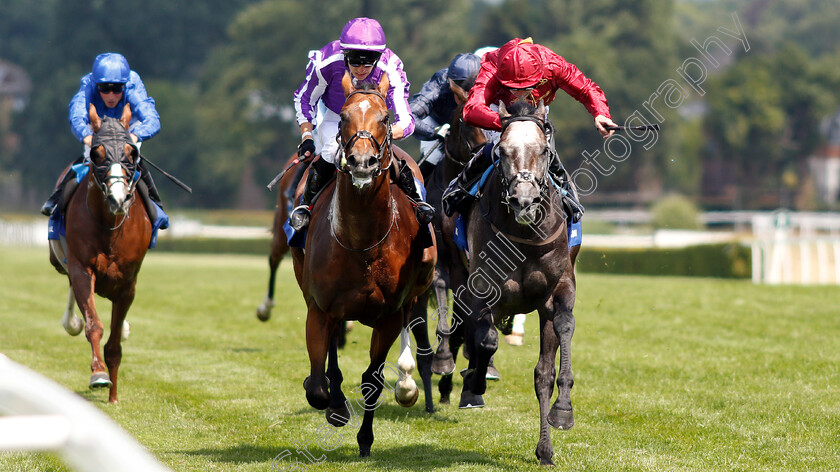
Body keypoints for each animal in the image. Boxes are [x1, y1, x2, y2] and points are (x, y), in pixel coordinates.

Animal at [48, 102, 152, 402]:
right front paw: (99, 375)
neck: (110, 226)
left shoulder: (128, 283)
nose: (118, 199)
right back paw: (71, 322)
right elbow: (94, 325)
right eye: (97, 153)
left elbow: (115, 343)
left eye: (131, 152)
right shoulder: (83, 268)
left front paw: (114, 395)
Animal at [288, 74, 434, 458]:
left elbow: (372, 380)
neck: (361, 240)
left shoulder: (388, 317)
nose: (363, 162)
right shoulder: (321, 309)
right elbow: (319, 386)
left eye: (385, 118)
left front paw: (365, 440)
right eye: (342, 117)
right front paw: (335, 407)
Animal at [456, 99, 580, 464]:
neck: (525, 236)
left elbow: (550, 360)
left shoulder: (558, 291)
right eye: (503, 151)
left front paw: (561, 413)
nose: (524, 200)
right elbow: (485, 342)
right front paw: (475, 385)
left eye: (543, 150)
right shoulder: (483, 289)